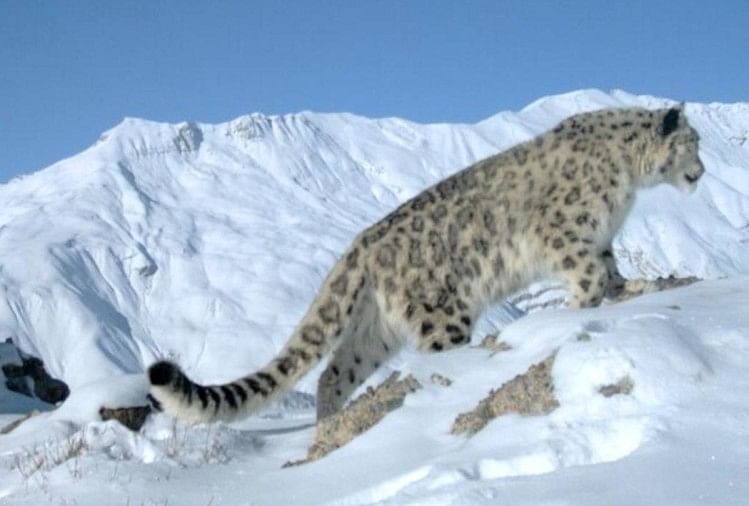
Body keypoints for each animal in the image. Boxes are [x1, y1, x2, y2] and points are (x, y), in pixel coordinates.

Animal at [145, 104, 700, 422]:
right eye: (691, 142)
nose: (701, 172)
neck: (628, 182)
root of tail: (359, 247)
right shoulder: (564, 231)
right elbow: (588, 276)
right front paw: (585, 308)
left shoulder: (599, 238)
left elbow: (610, 270)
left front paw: (634, 289)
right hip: (442, 312)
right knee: (432, 355)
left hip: (374, 331)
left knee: (333, 373)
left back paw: (327, 425)